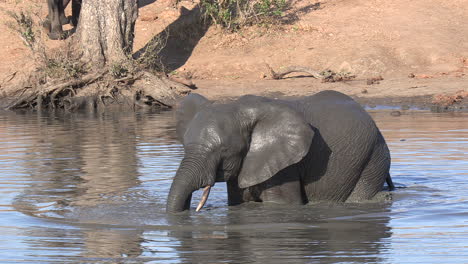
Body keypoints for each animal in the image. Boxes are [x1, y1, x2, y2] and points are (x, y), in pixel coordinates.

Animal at [166, 90, 394, 212]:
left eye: (224, 150)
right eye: (184, 146)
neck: (240, 109)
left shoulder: (286, 165)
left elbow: (281, 204)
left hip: (372, 157)